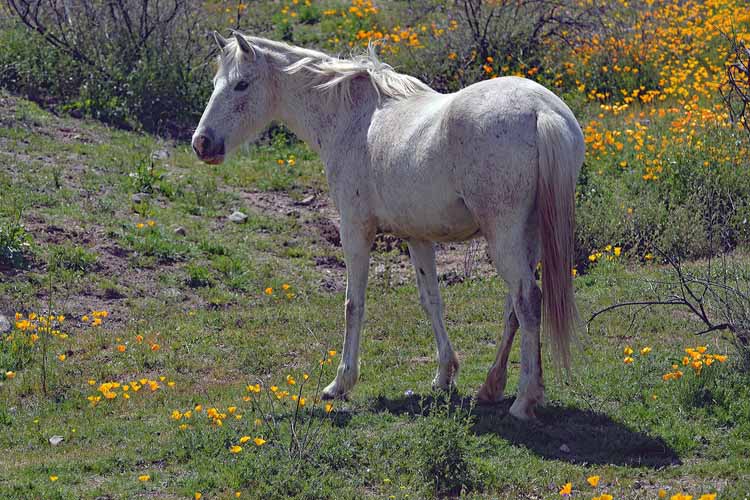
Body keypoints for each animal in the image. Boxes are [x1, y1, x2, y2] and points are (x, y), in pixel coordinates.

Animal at [194, 33, 588, 420]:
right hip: (526, 237)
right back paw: (492, 387)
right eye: (216, 83)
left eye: (241, 84)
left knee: (527, 301)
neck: (352, 117)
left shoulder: (354, 228)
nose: (202, 143)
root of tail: (542, 111)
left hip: (504, 235)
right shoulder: (418, 237)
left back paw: (524, 401)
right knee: (514, 308)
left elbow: (353, 303)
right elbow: (431, 301)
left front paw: (341, 383)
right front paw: (444, 375)